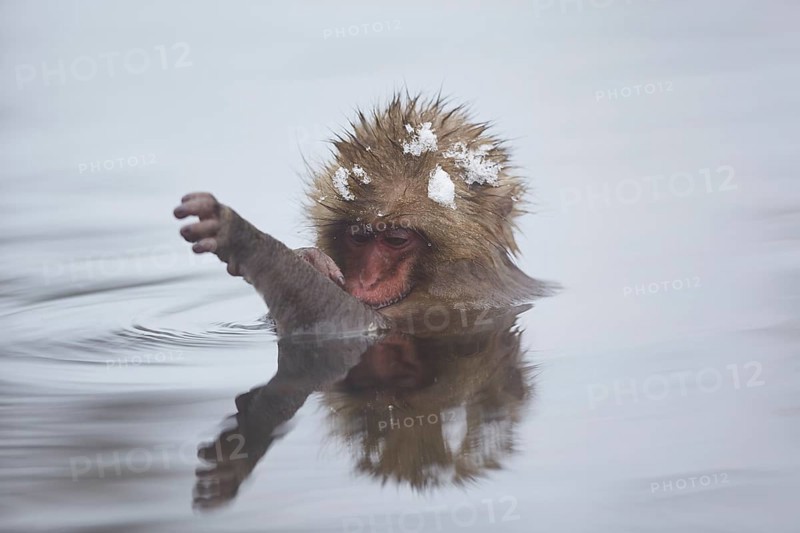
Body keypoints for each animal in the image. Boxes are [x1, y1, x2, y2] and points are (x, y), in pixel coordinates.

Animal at [174, 93, 550, 336]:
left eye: (395, 238)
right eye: (358, 236)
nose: (366, 280)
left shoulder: (447, 304)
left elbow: (343, 326)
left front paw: (239, 236)